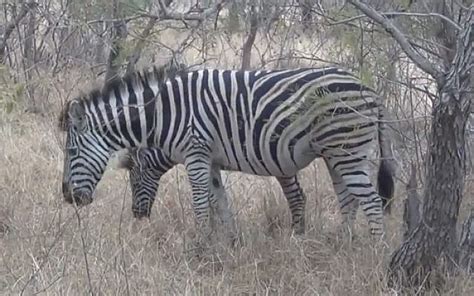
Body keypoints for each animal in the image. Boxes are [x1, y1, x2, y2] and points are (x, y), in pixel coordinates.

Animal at [61, 65, 398, 238]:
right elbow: (219, 202)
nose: (68, 198)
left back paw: (371, 250)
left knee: (370, 202)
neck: (162, 114)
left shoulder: (196, 154)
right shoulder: (209, 160)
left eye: (72, 151)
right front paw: (227, 242)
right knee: (348, 201)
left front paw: (198, 246)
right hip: (335, 154)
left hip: (347, 150)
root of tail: (371, 90)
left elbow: (201, 204)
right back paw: (342, 243)